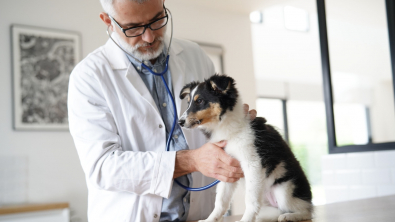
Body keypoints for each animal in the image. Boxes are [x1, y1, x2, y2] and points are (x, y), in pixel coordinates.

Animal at [179, 75, 312, 222]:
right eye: (188, 102)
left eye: (200, 100)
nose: (180, 122)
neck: (227, 126)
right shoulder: (226, 166)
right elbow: (221, 200)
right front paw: (210, 219)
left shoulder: (252, 163)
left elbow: (250, 199)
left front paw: (245, 220)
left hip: (284, 190)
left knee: (306, 211)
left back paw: (289, 216)